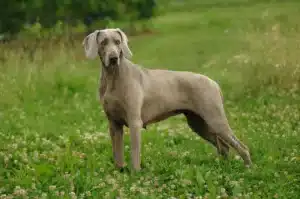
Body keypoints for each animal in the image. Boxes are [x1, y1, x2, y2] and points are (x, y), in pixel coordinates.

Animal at [81, 28, 251, 171]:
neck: (113, 77)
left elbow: (135, 153)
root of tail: (214, 83)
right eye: (103, 42)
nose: (114, 58)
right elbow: (117, 153)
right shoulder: (114, 124)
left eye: (117, 42)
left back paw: (248, 169)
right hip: (198, 123)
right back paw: (223, 168)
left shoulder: (135, 122)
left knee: (241, 147)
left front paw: (135, 175)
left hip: (215, 119)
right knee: (224, 147)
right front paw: (119, 172)